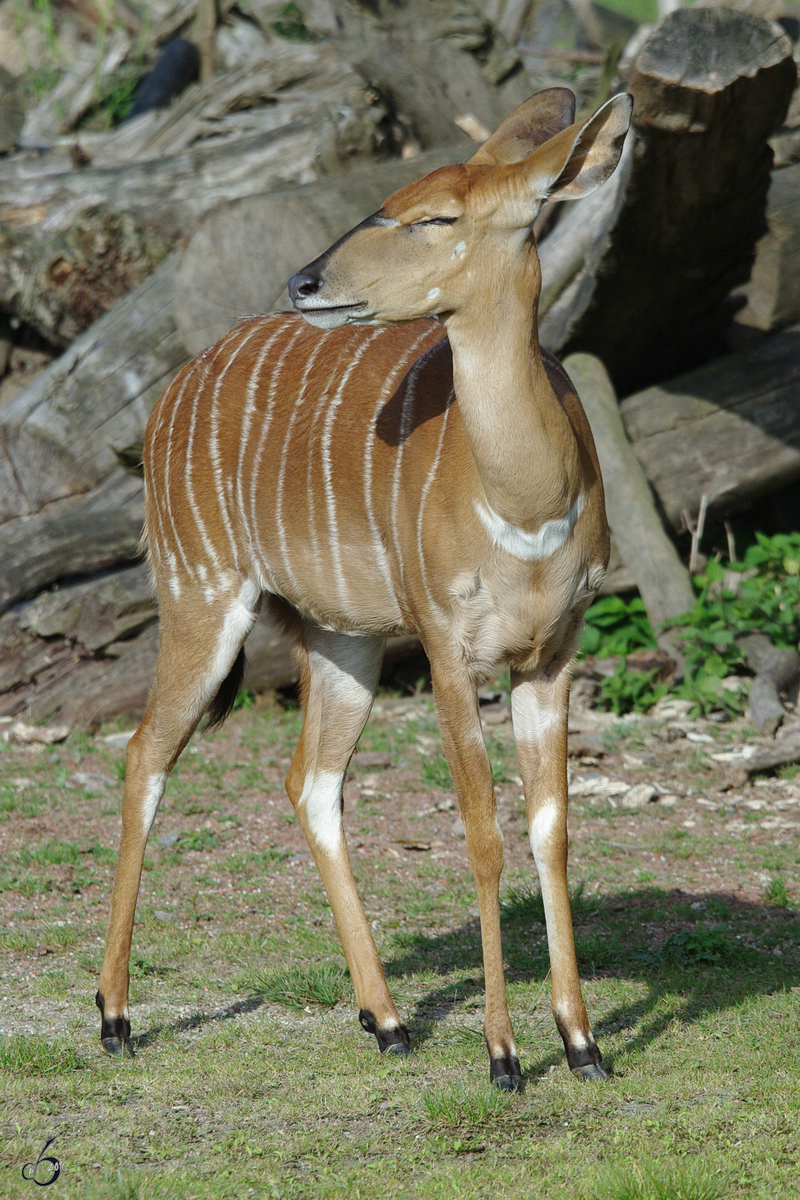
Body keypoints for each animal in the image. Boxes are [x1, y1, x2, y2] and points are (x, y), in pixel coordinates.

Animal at [98, 88, 633, 1094]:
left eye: (436, 217)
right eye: (390, 198)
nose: (306, 281)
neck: (525, 502)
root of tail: (170, 395)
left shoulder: (551, 656)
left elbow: (551, 828)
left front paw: (582, 1044)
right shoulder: (447, 647)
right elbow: (483, 834)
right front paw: (504, 1056)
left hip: (341, 638)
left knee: (310, 780)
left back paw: (385, 1019)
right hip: (201, 594)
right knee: (147, 752)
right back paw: (112, 1017)